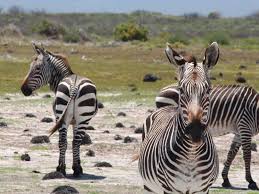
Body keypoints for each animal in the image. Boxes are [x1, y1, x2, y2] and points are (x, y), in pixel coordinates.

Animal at [20, 42, 98, 177]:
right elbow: (74, 142)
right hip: (79, 118)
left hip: (65, 116)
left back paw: (62, 168)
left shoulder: (68, 120)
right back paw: (72, 169)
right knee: (73, 142)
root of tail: (74, 86)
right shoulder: (74, 121)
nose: (23, 89)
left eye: (37, 68)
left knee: (64, 141)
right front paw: (77, 165)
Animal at [139, 42, 220, 194]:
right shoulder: (170, 188)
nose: (195, 131)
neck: (191, 154)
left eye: (208, 90)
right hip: (150, 187)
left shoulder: (203, 188)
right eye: (181, 90)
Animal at [156, 55, 259, 189]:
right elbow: (247, 155)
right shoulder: (244, 126)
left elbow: (231, 154)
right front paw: (251, 181)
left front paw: (225, 179)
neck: (255, 109)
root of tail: (162, 90)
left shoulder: (238, 131)